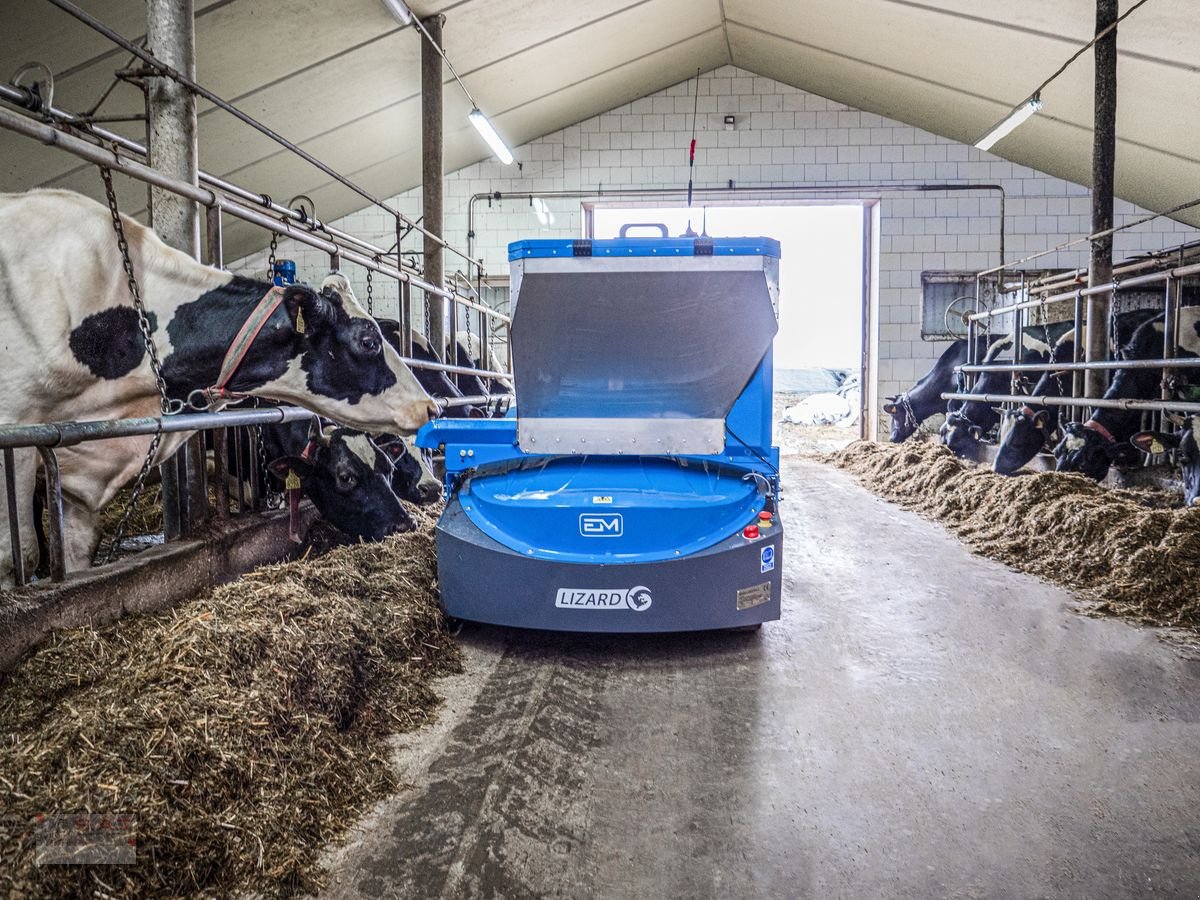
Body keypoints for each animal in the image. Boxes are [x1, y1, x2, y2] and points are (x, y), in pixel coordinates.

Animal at [0, 190, 439, 585]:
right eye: (368, 341)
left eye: (386, 466)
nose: (431, 407)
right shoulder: (18, 434)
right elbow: (15, 555)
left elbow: (79, 549)